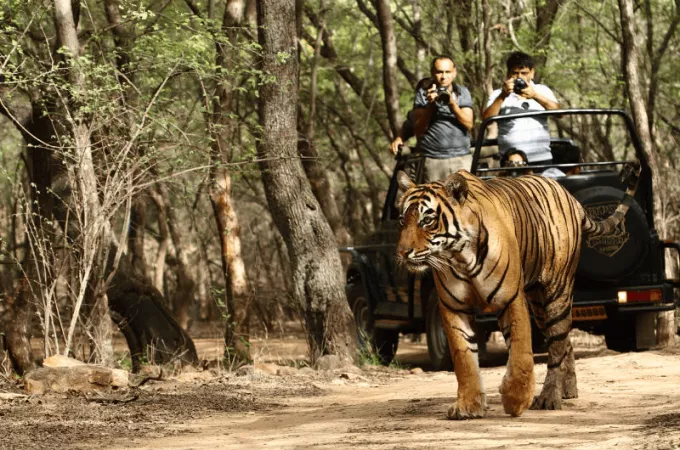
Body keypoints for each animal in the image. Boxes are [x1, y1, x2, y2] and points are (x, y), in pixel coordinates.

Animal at [396, 163, 640, 419]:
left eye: (427, 220)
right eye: (402, 220)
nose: (402, 252)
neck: (460, 256)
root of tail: (570, 196)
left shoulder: (510, 299)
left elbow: (521, 352)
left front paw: (516, 399)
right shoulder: (453, 307)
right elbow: (464, 358)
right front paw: (468, 405)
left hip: (557, 293)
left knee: (556, 346)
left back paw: (549, 397)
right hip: (539, 306)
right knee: (564, 341)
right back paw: (568, 389)